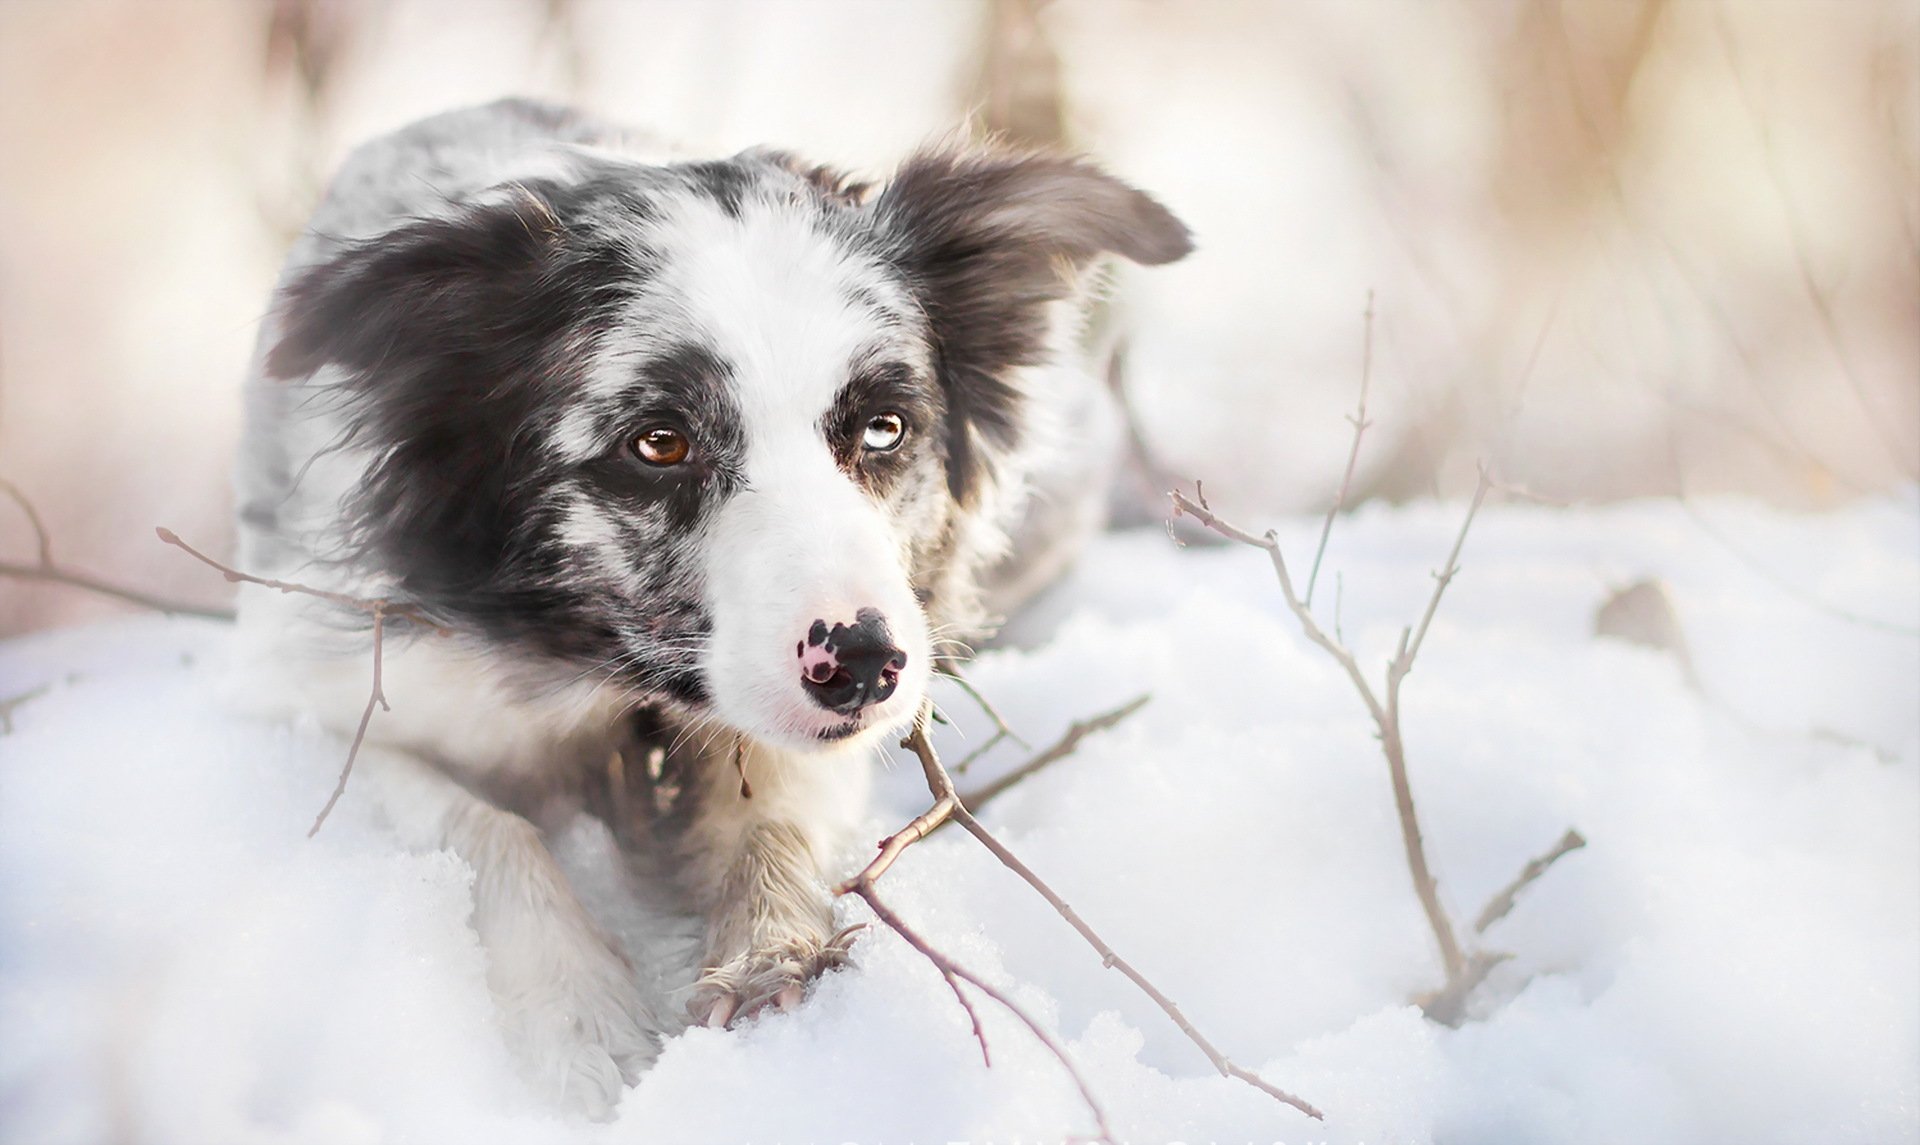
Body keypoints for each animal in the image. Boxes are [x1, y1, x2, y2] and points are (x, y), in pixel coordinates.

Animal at [224, 98, 1182, 1121]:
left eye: (885, 427)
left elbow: (778, 814)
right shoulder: (303, 701)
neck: (611, 680)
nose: (861, 663)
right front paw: (579, 1020)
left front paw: (770, 951)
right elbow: (482, 825)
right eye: (659, 443)